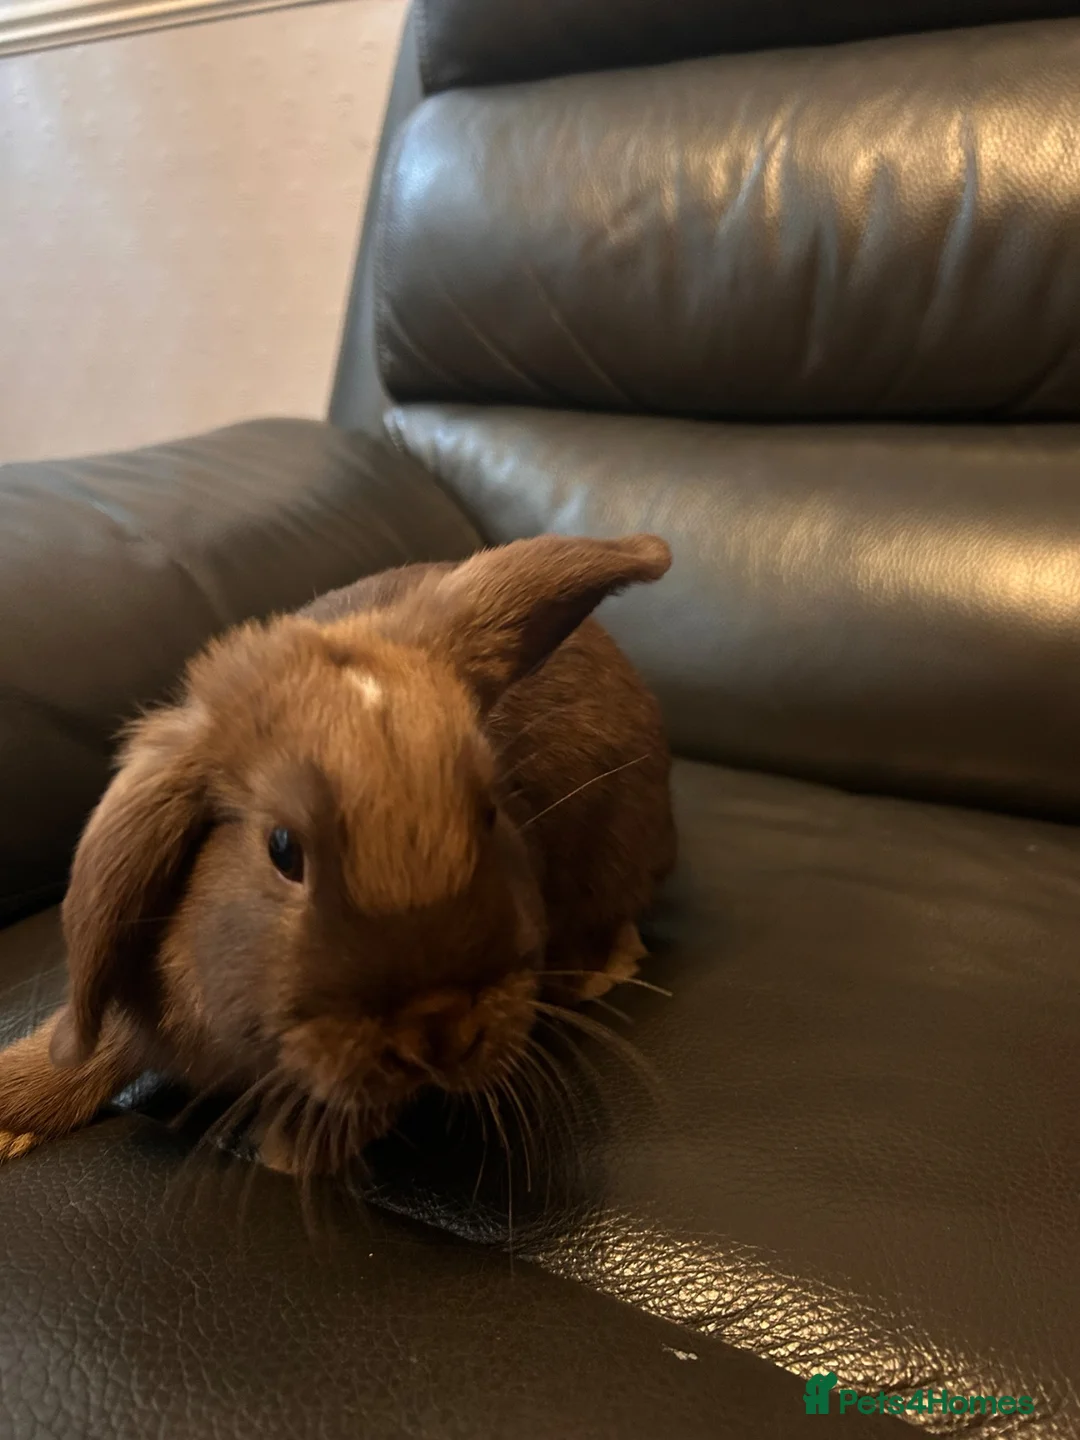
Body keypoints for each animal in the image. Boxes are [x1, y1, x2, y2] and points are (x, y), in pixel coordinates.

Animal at [0, 532, 675, 1178]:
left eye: (491, 811)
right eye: (283, 850)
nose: (437, 1030)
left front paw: (289, 1152)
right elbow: (87, 1049)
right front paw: (11, 1110)